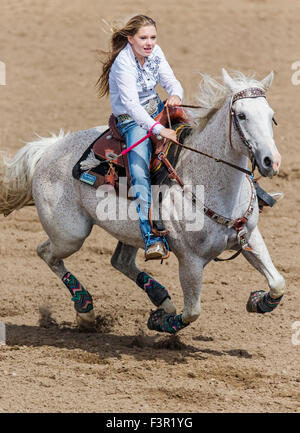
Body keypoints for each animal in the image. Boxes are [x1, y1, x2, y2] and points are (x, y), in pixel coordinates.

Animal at [0, 70, 286, 334]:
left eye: (272, 115)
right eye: (241, 116)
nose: (271, 161)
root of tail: (49, 148)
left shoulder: (249, 237)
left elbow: (278, 284)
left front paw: (256, 301)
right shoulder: (190, 260)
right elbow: (192, 311)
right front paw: (159, 322)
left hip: (131, 231)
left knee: (120, 261)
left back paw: (161, 299)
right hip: (70, 234)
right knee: (46, 253)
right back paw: (86, 310)